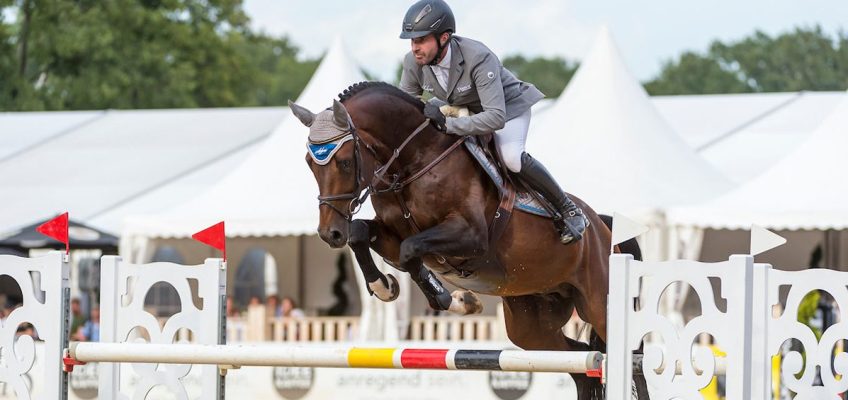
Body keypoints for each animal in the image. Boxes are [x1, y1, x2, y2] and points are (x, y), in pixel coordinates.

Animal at [290, 80, 644, 396]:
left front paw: (455, 300)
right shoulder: (391, 231)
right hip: (532, 322)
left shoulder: (471, 237)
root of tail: (604, 227)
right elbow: (364, 235)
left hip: (598, 303)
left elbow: (410, 250)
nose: (329, 233)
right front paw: (384, 286)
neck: (413, 162)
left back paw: (572, 221)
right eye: (309, 163)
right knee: (580, 360)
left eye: (344, 162)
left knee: (631, 358)